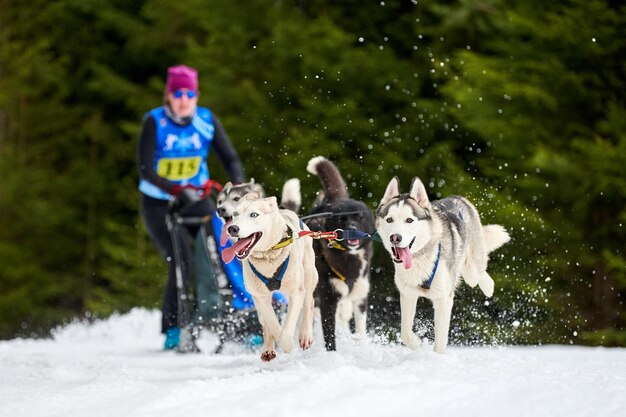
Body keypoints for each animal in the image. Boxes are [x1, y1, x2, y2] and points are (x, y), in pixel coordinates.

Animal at [221, 193, 316, 360]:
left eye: (254, 215)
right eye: (236, 214)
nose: (232, 228)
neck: (268, 257)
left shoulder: (296, 292)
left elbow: (288, 325)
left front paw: (288, 343)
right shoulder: (260, 297)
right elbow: (272, 323)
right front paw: (280, 341)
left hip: (308, 275)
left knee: (309, 304)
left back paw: (305, 335)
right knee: (265, 322)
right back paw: (268, 349)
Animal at [304, 156, 372, 352]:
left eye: (359, 217)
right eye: (342, 219)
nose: (352, 229)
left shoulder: (360, 299)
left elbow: (361, 331)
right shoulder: (328, 299)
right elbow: (329, 336)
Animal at [376, 175, 508, 352]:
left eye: (409, 220)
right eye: (389, 220)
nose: (395, 238)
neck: (421, 259)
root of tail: (459, 197)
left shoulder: (443, 300)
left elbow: (439, 341)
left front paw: (436, 357)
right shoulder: (408, 295)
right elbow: (405, 333)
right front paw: (417, 343)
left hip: (471, 270)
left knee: (478, 273)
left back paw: (488, 287)